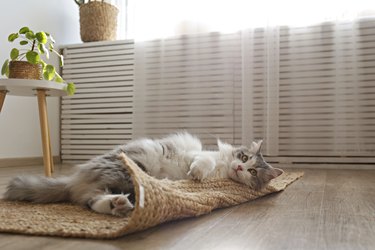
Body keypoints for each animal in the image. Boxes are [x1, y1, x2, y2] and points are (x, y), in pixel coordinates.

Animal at [4, 133, 284, 217]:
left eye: (253, 172)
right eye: (245, 159)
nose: (239, 168)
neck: (221, 172)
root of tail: (74, 180)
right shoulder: (200, 154)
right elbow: (201, 163)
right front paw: (196, 175)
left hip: (114, 182)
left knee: (94, 201)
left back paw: (118, 204)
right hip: (132, 167)